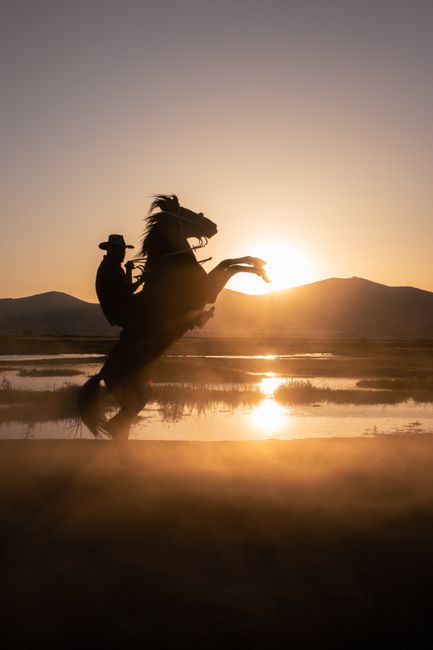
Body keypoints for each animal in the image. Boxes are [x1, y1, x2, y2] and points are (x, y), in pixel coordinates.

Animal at [79, 194, 269, 440]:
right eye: (187, 212)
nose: (213, 226)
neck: (170, 266)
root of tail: (103, 374)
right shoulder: (207, 290)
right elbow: (230, 266)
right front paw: (261, 271)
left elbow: (228, 262)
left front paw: (258, 261)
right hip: (131, 395)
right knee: (117, 425)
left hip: (142, 393)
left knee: (120, 425)